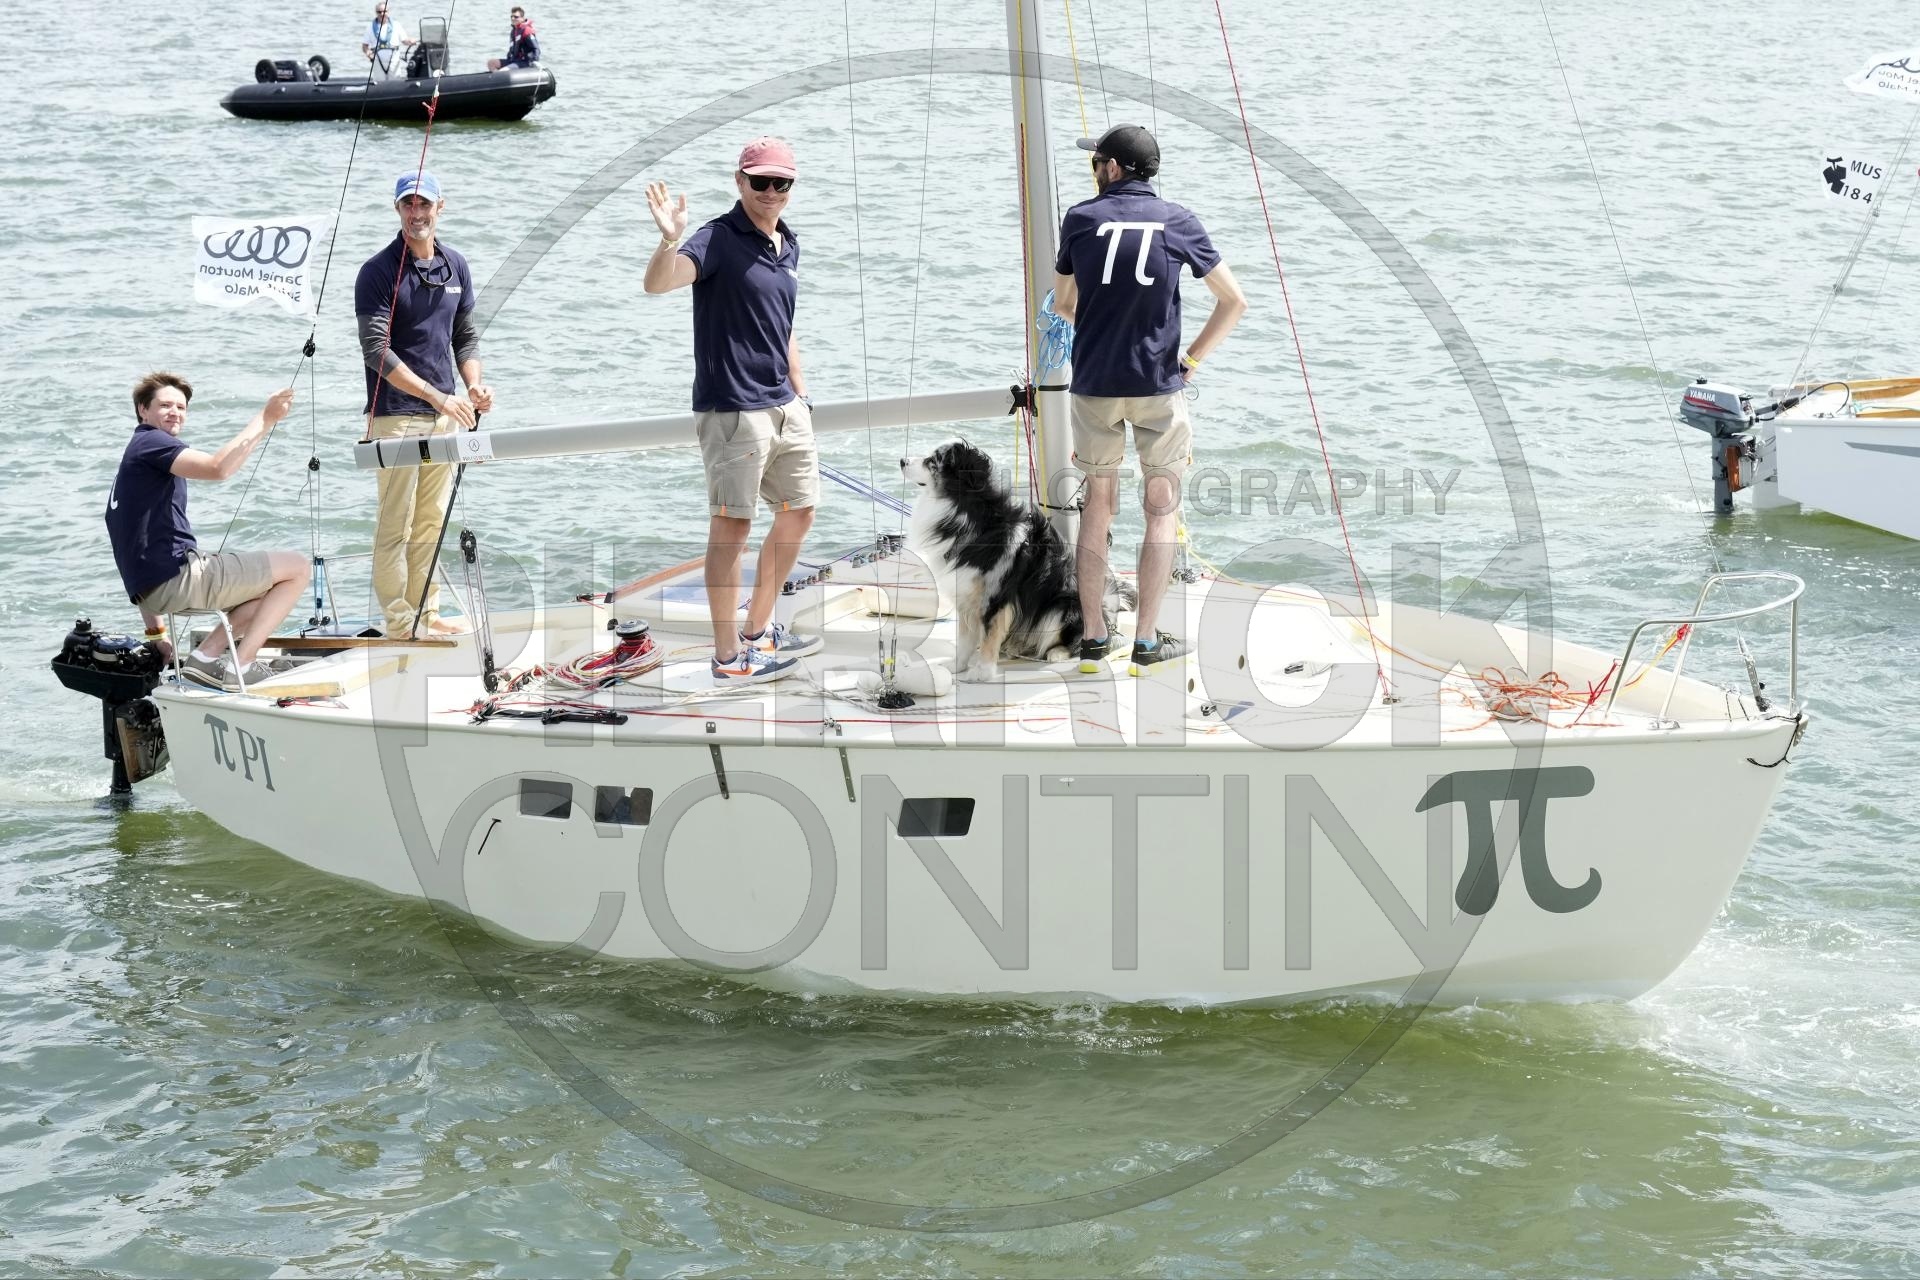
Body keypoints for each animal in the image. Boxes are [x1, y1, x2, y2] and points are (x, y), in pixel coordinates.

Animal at [900, 440, 1136, 680]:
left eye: (933, 460)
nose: (902, 461)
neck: (965, 511)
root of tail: (1109, 613)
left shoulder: (995, 597)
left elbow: (989, 638)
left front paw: (983, 673)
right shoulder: (965, 595)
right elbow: (965, 639)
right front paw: (957, 666)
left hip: (1061, 609)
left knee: (1074, 642)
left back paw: (1057, 653)